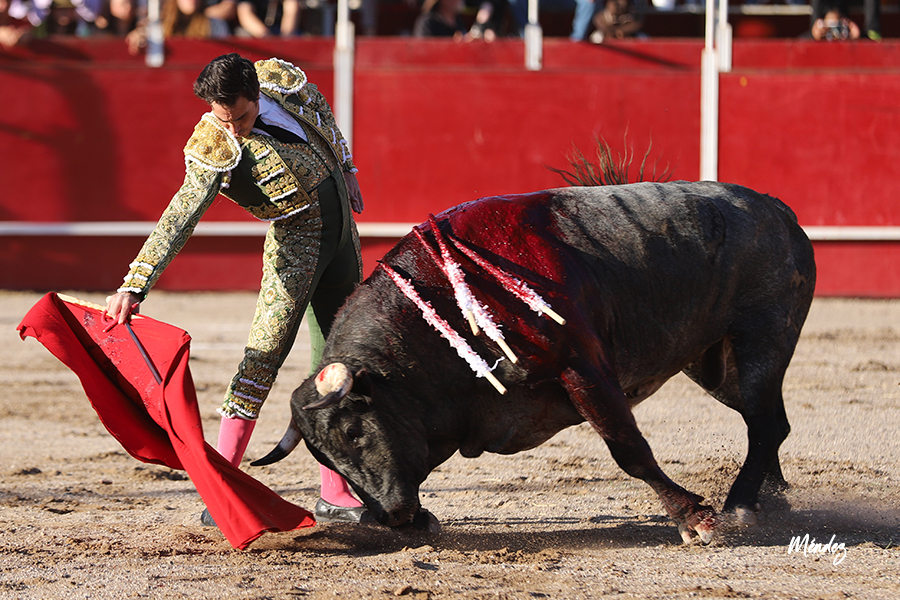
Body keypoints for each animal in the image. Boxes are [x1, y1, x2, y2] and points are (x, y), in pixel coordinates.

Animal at [253, 181, 816, 544]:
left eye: (354, 433)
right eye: (325, 460)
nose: (391, 515)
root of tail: (777, 210)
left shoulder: (583, 367)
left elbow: (629, 450)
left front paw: (695, 519)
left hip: (760, 336)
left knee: (765, 422)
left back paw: (739, 507)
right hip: (712, 363)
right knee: (767, 420)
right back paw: (768, 499)